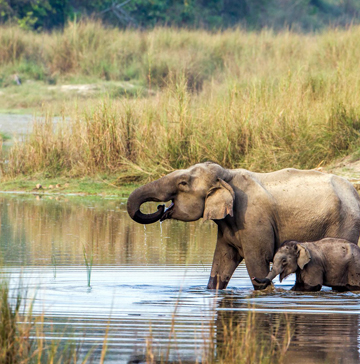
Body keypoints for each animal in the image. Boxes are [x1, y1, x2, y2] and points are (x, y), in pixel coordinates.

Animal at [126, 162, 360, 290]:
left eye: (183, 183)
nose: (160, 207)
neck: (227, 175)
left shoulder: (252, 219)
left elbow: (257, 262)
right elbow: (221, 263)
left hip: (345, 223)